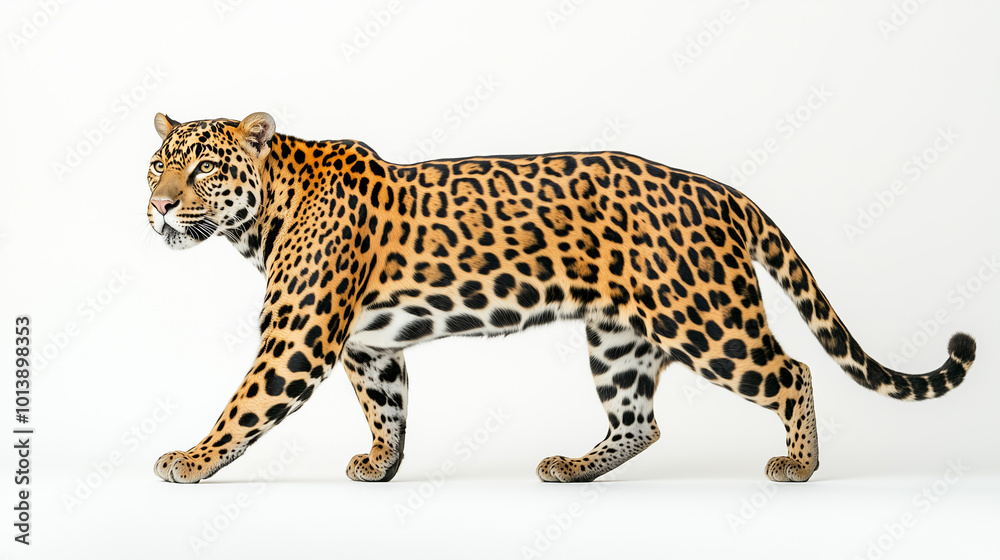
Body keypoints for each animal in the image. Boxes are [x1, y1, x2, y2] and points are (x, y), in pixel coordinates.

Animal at [147, 111, 977, 484]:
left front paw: (189, 459)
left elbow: (244, 406)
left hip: (705, 318)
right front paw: (381, 465)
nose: (157, 206)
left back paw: (798, 466)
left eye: (203, 168)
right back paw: (575, 466)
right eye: (157, 164)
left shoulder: (298, 339)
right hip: (617, 337)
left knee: (791, 372)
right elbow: (388, 406)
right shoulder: (368, 346)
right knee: (640, 421)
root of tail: (723, 190)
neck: (261, 218)